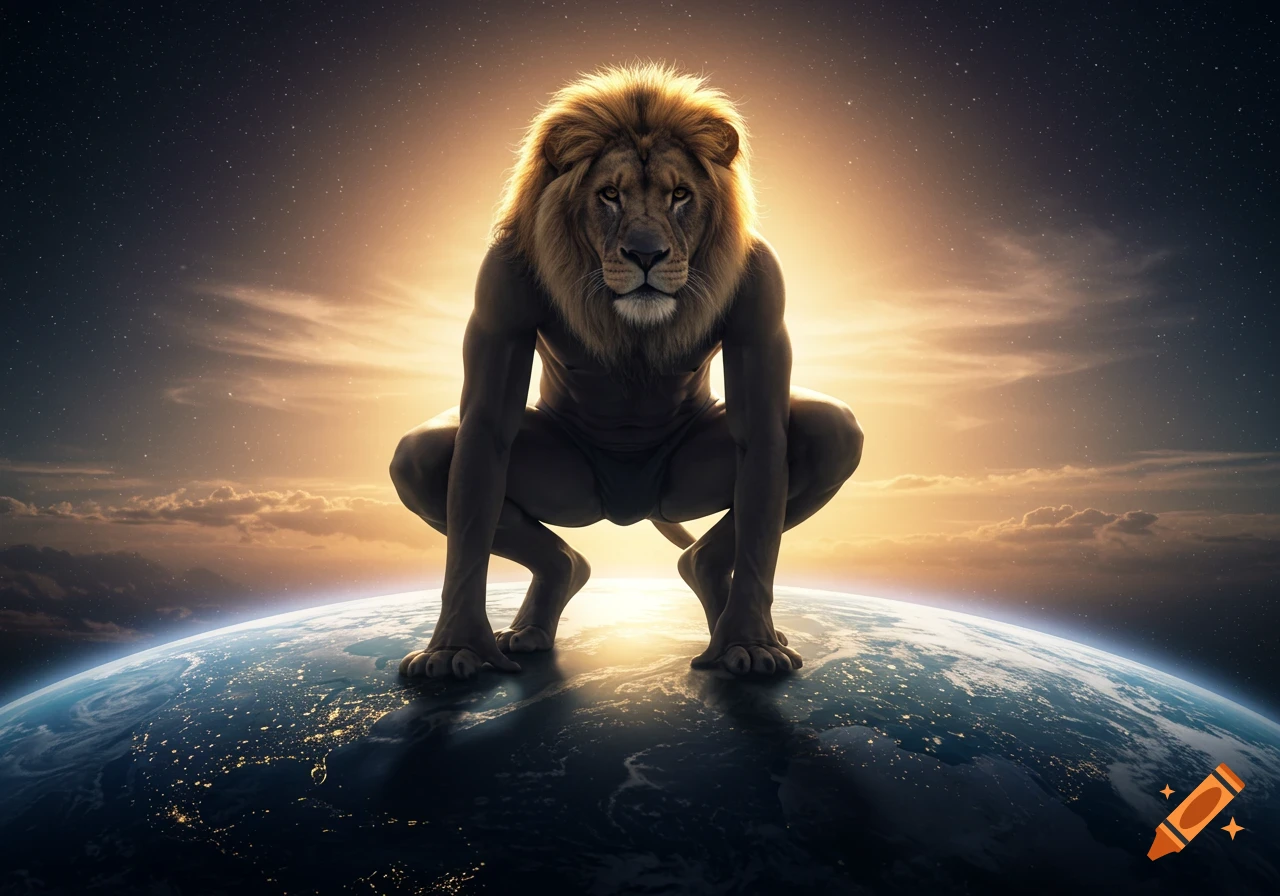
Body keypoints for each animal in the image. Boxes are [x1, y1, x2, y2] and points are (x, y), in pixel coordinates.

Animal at [391, 61, 863, 679]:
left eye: (680, 194)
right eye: (609, 195)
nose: (645, 254)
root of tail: (629, 507)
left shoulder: (764, 290)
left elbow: (762, 438)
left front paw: (750, 640)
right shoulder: (500, 287)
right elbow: (484, 435)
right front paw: (456, 646)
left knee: (825, 434)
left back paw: (705, 580)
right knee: (428, 458)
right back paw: (554, 590)